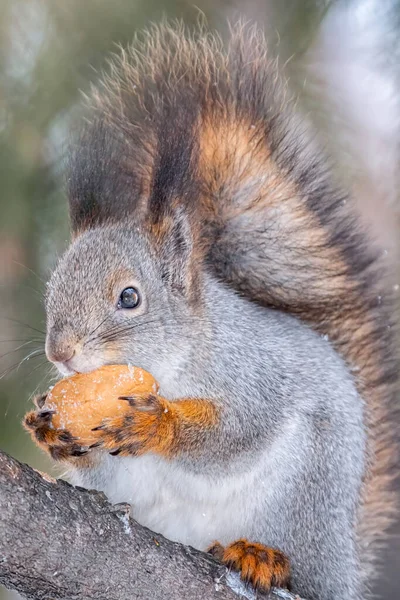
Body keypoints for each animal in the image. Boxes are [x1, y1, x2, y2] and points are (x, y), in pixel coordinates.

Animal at [24, 21, 396, 600]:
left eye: (129, 297)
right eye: (52, 287)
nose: (59, 353)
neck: (175, 359)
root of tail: (344, 563)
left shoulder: (255, 373)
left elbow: (237, 431)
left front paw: (157, 426)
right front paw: (47, 429)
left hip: (304, 497)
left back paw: (262, 556)